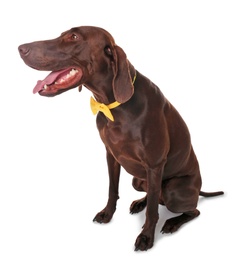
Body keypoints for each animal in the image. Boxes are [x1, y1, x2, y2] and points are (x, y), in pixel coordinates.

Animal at [18, 25, 223, 250]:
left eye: (74, 36)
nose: (21, 48)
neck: (113, 106)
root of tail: (199, 190)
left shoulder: (155, 165)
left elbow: (152, 212)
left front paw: (146, 236)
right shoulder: (112, 156)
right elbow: (112, 189)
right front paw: (107, 214)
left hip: (174, 190)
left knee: (190, 209)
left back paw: (171, 223)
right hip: (138, 180)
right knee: (153, 195)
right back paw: (139, 203)